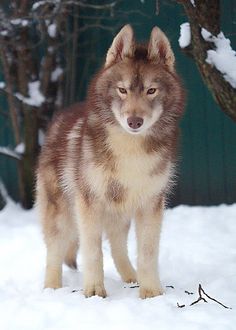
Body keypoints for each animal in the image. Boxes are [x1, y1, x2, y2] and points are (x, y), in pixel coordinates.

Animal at [36, 25, 185, 300]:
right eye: (122, 90)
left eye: (151, 90)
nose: (134, 121)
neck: (130, 149)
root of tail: (60, 118)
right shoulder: (89, 204)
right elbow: (92, 252)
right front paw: (94, 291)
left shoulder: (151, 204)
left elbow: (148, 253)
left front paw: (151, 293)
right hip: (62, 214)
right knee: (54, 251)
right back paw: (51, 289)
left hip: (120, 213)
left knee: (118, 247)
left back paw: (131, 277)